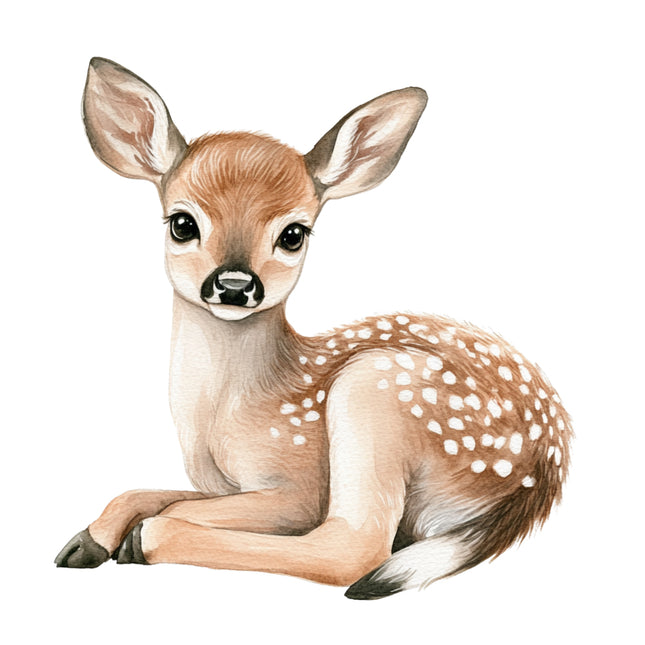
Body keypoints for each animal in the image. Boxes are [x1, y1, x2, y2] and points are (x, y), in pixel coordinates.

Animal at [55, 57, 572, 599]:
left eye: (293, 233)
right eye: (182, 223)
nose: (235, 285)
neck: (223, 415)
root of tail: (543, 472)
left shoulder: (297, 486)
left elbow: (188, 507)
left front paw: (129, 538)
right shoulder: (220, 485)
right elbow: (145, 491)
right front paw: (86, 541)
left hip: (375, 392)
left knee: (355, 546)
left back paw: (146, 541)